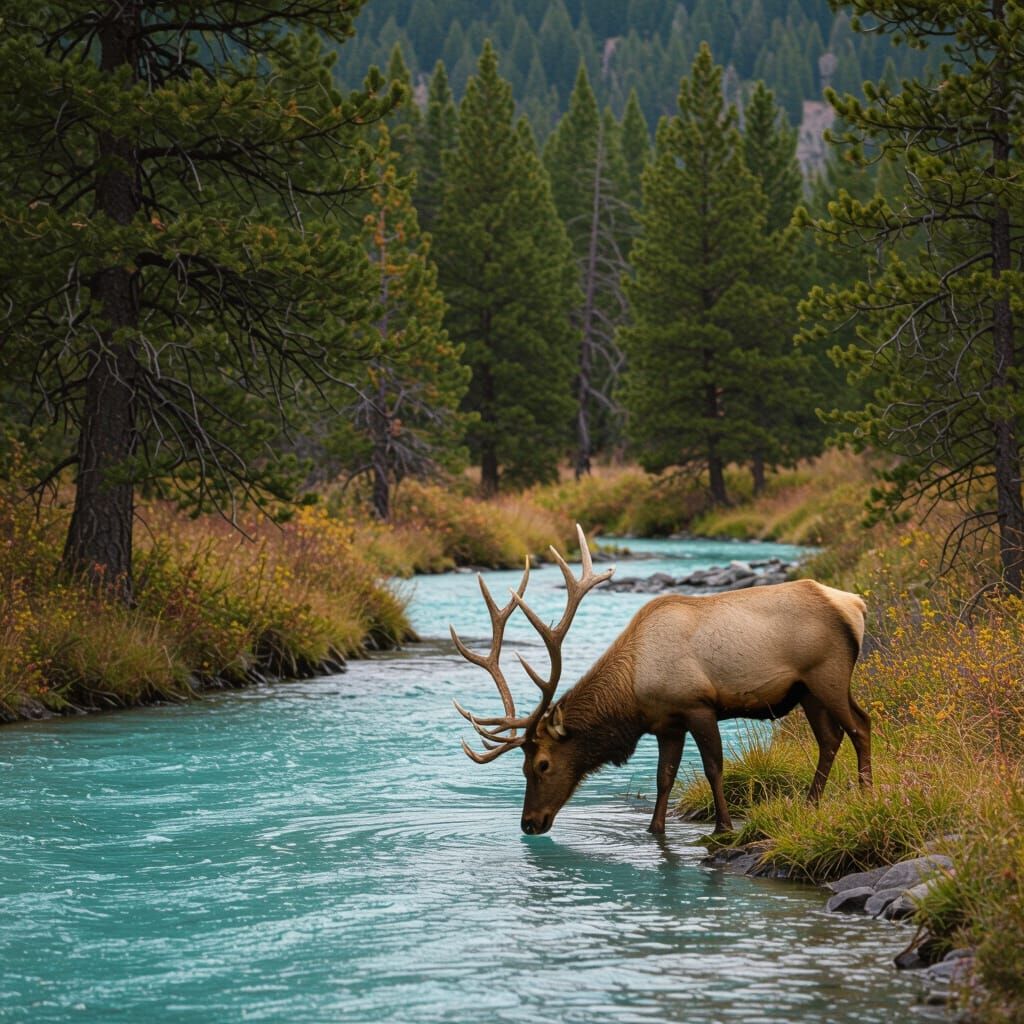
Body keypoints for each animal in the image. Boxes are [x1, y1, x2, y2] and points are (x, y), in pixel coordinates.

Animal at [451, 525, 870, 836]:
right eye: (523, 768)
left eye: (542, 765)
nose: (529, 824)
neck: (633, 692)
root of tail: (857, 604)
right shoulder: (667, 724)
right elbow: (663, 777)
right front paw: (655, 830)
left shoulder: (697, 705)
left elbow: (713, 766)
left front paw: (723, 827)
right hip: (806, 690)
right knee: (829, 738)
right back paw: (811, 803)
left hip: (829, 674)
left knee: (860, 725)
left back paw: (866, 792)